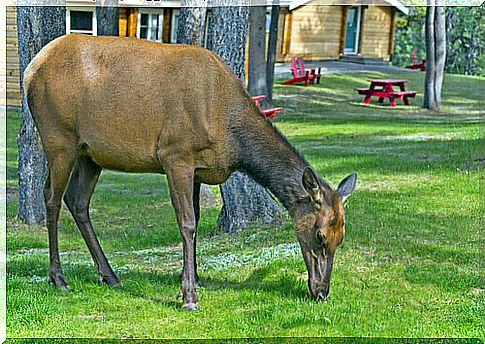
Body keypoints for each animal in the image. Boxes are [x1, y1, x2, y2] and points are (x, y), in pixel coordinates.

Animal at [23, 34, 356, 310]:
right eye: (320, 234)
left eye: (341, 236)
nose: (322, 292)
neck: (231, 135)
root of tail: (29, 70)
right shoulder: (176, 155)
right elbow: (187, 223)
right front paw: (189, 296)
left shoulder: (198, 168)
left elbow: (194, 219)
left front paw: (191, 282)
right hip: (59, 138)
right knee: (51, 197)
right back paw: (59, 278)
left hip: (90, 153)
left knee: (77, 201)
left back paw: (110, 275)